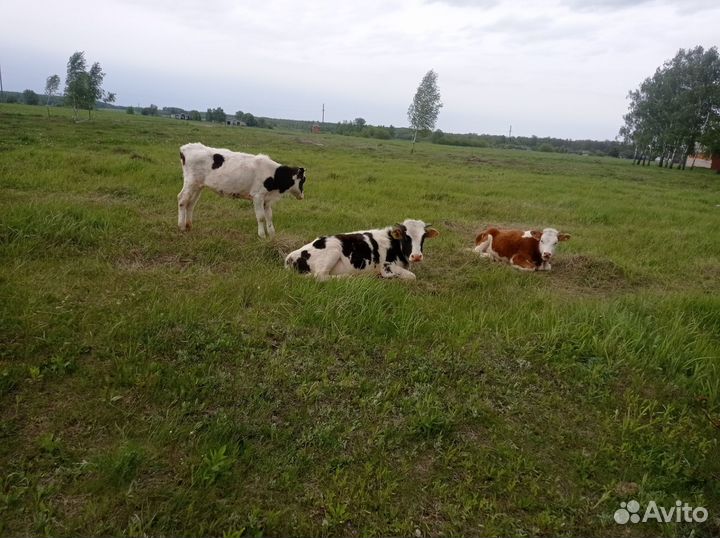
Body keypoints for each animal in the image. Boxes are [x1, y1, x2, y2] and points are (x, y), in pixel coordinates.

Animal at [177, 142, 306, 238]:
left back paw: (189, 226)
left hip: (197, 186)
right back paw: (181, 227)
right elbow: (261, 217)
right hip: (190, 183)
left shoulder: (267, 200)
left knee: (191, 204)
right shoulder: (257, 196)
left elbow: (269, 216)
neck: (273, 174)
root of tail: (186, 147)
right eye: (303, 180)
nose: (302, 196)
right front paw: (262, 235)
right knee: (182, 200)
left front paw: (272, 234)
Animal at [285, 219, 439, 281]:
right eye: (406, 237)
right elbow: (412, 276)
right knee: (320, 277)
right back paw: (349, 277)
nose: (417, 256)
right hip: (333, 251)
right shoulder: (386, 266)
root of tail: (290, 256)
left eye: (423, 237)